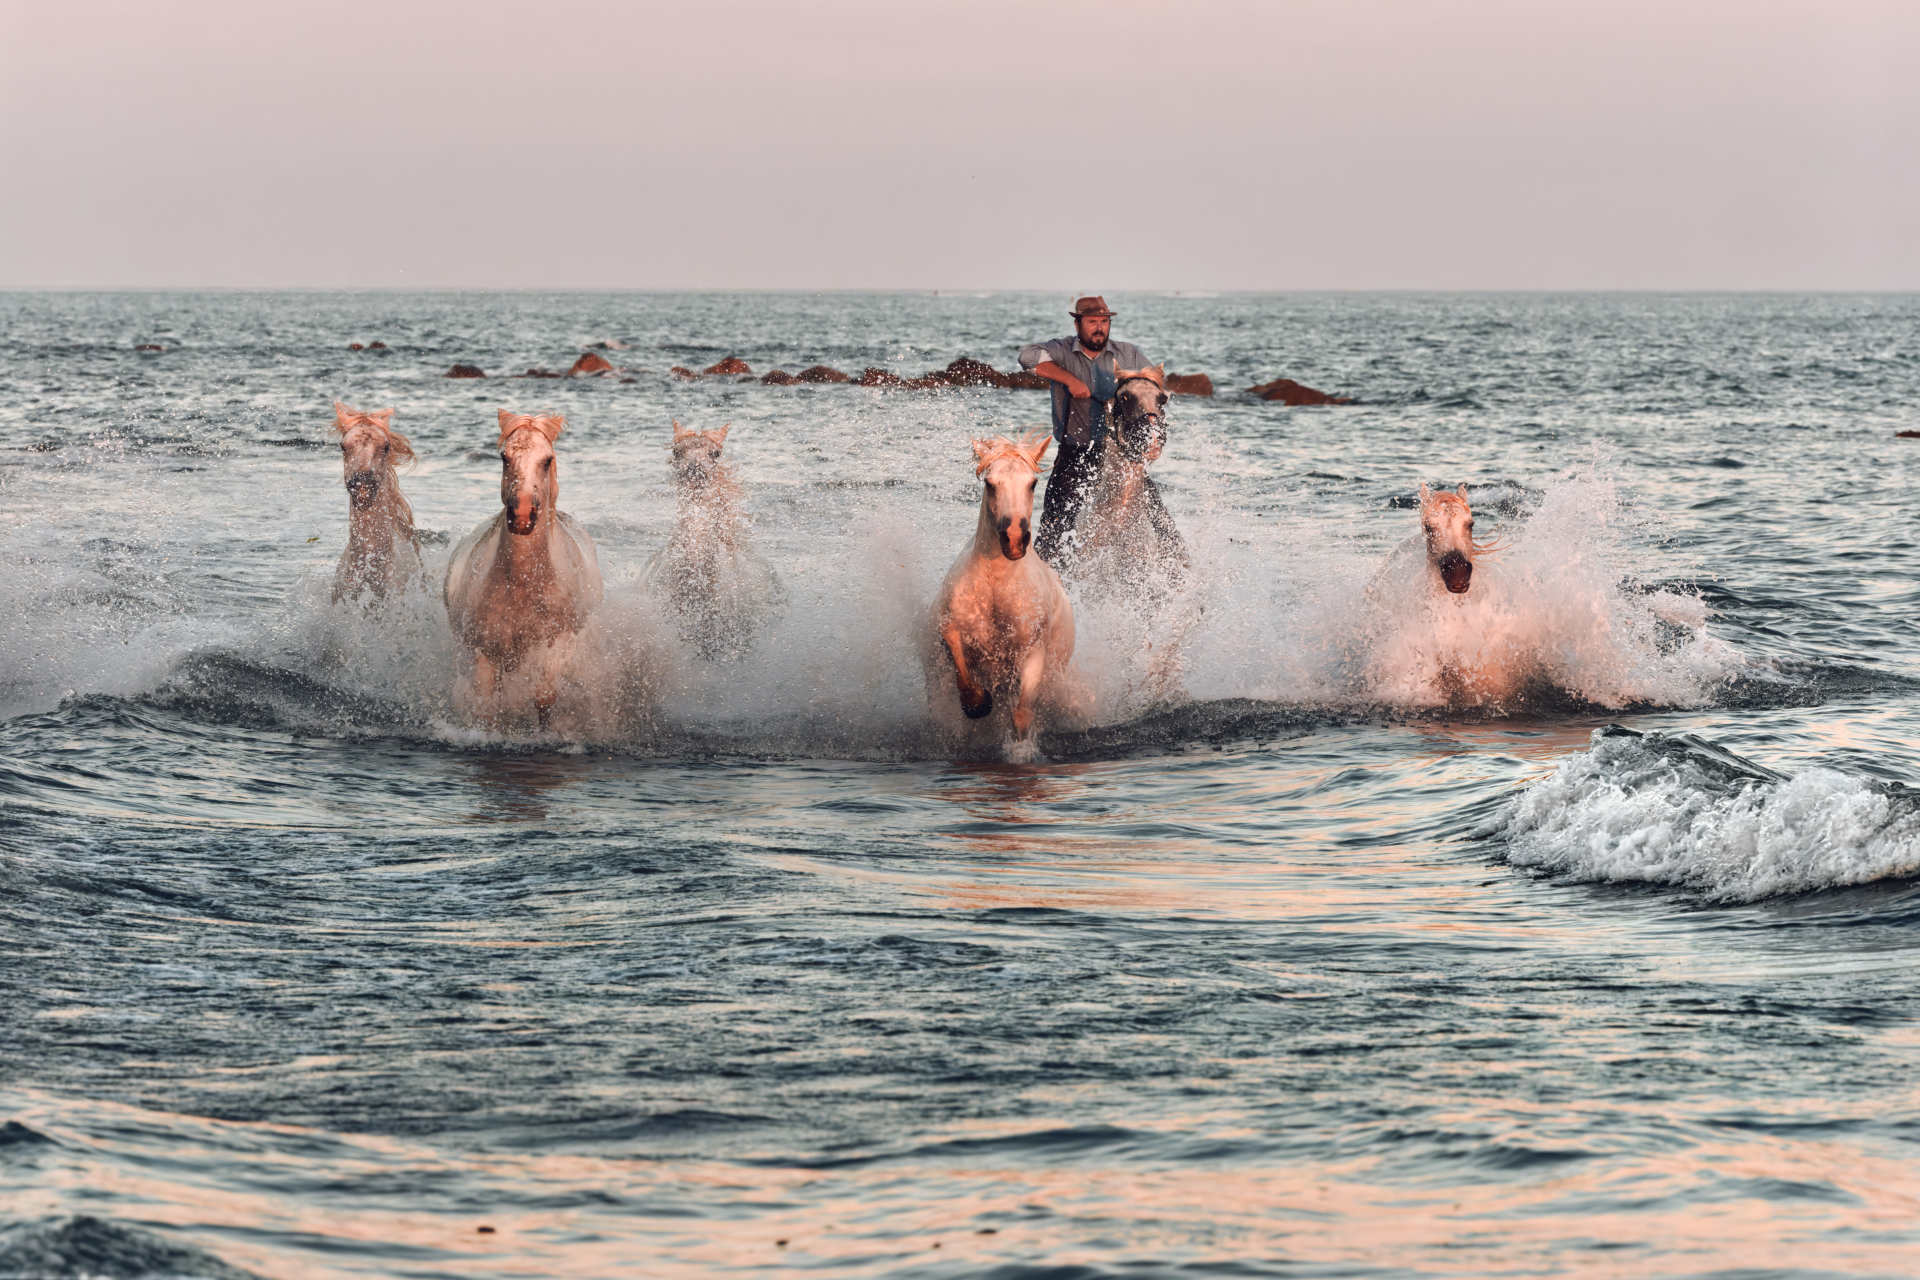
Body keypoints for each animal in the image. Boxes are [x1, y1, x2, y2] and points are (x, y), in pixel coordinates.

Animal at [443, 411, 604, 731]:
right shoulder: (485, 652)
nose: (521, 515)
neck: (523, 583)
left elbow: (544, 698)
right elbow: (487, 707)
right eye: (504, 457)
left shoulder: (556, 644)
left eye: (547, 460)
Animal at [925, 432, 1085, 760]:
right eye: (990, 483)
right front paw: (978, 704)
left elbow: (1021, 713)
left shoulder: (1032, 652)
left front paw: (1020, 752)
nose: (1013, 538)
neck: (996, 585)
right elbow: (966, 679)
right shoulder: (952, 631)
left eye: (1032, 483)